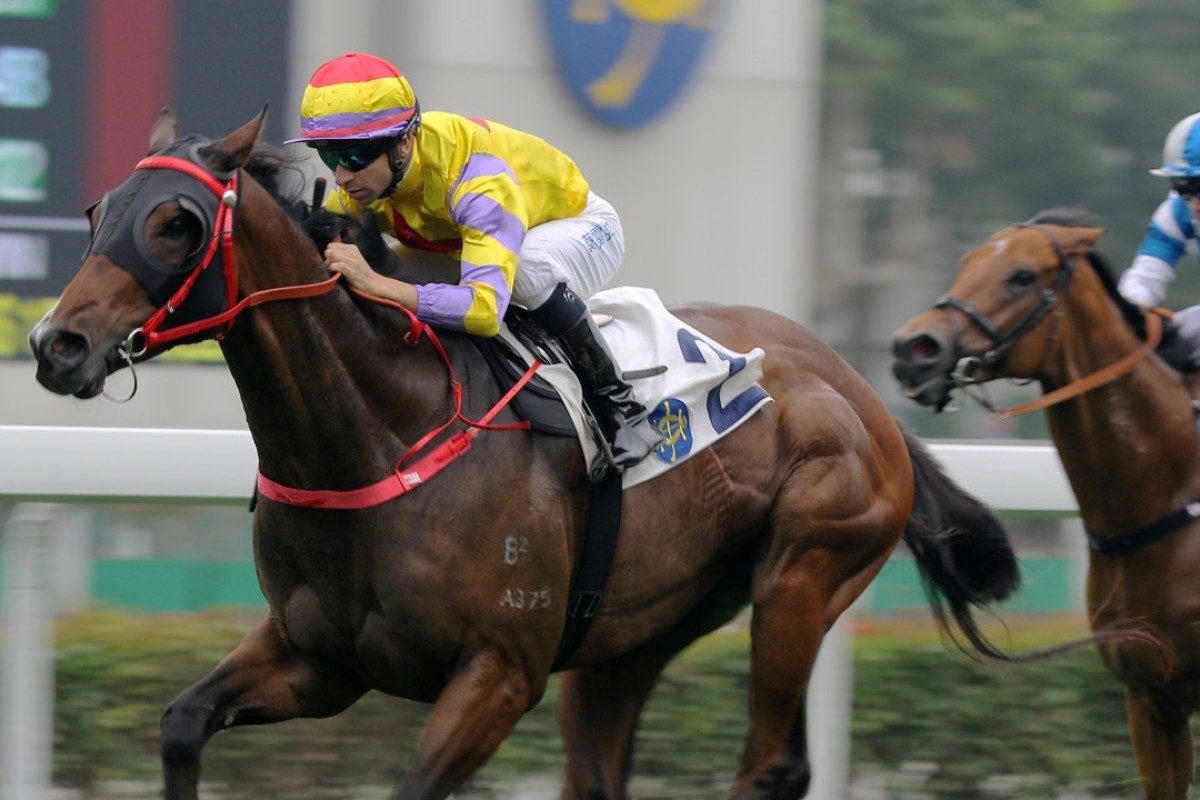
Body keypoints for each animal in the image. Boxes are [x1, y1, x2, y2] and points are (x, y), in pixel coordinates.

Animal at [30, 109, 1022, 800]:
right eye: (98, 209)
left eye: (177, 224)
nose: (55, 344)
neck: (379, 433)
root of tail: (854, 385)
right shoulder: (320, 659)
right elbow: (182, 721)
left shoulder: (499, 673)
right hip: (638, 629)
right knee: (604, 769)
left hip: (803, 574)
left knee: (772, 762)